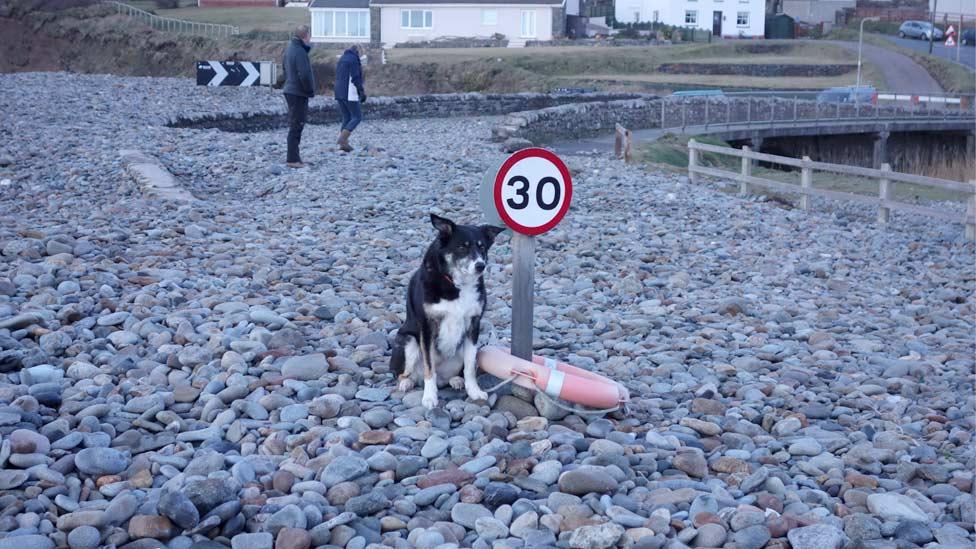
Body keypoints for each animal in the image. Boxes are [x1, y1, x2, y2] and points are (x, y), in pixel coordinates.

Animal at [390, 212, 508, 408]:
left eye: (482, 247)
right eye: (461, 247)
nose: (480, 265)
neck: (457, 283)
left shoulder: (473, 325)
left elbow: (470, 366)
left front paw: (474, 391)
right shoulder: (427, 328)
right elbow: (430, 367)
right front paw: (430, 397)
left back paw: (456, 380)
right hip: (408, 341)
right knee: (403, 373)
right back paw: (406, 382)